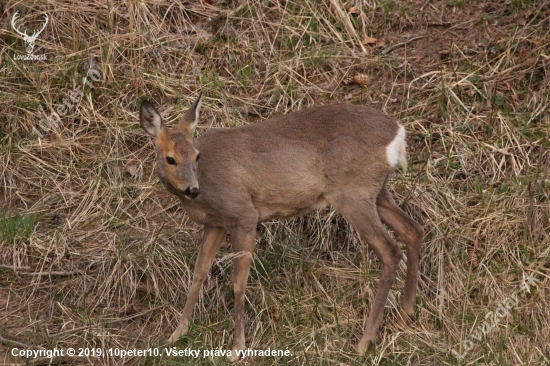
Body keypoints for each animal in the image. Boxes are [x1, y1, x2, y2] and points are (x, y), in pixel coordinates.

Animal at [140, 93, 424, 358]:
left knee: (390, 250)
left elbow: (238, 281)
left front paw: (237, 347)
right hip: (376, 191)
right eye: (171, 159)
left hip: (353, 192)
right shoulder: (215, 224)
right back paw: (405, 314)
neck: (206, 187)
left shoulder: (242, 213)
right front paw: (177, 334)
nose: (192, 189)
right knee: (412, 229)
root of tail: (398, 132)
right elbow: (198, 274)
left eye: (196, 156)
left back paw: (365, 341)